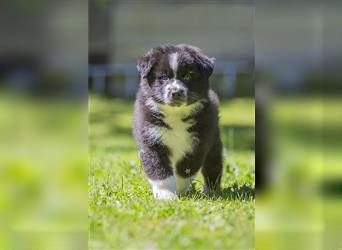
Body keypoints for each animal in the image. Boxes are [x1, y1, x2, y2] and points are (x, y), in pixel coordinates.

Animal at [132, 44, 223, 200]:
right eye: (163, 77)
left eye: (188, 76)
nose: (175, 92)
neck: (175, 114)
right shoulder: (152, 140)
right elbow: (160, 170)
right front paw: (166, 194)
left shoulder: (198, 143)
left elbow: (185, 169)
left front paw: (179, 189)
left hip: (214, 143)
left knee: (213, 166)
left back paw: (211, 190)